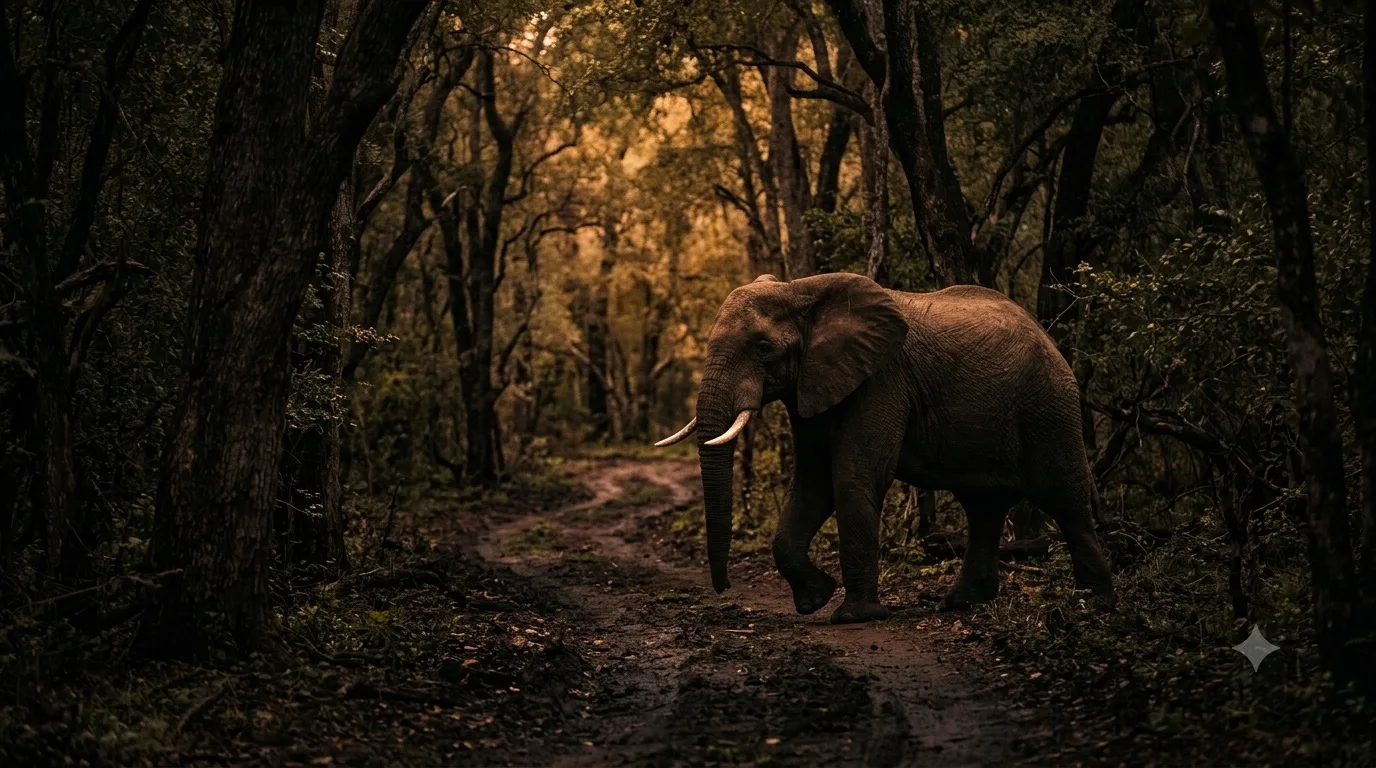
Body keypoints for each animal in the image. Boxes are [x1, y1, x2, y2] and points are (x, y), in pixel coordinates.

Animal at [654, 272, 1115, 624]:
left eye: (764, 349)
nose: (723, 588)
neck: (801, 290)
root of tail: (1051, 339)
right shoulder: (813, 387)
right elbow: (813, 483)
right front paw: (816, 599)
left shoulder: (882, 380)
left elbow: (852, 477)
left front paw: (854, 616)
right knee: (983, 507)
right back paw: (959, 605)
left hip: (1048, 405)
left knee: (1065, 499)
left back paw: (1092, 604)